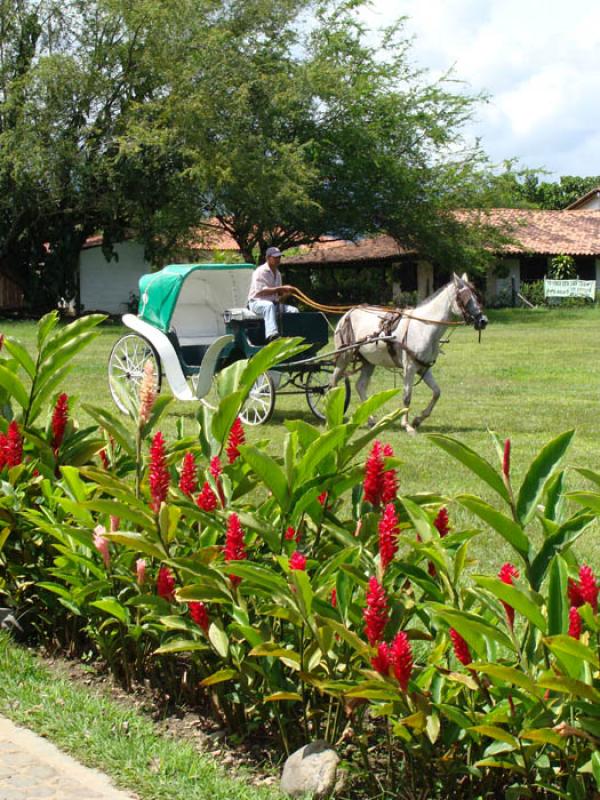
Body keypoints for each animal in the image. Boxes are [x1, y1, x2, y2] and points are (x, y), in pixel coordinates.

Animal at [330, 274, 490, 432]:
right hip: (344, 357)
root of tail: (347, 314)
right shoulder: (410, 367)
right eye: (464, 298)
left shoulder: (424, 367)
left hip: (369, 362)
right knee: (333, 383)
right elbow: (407, 396)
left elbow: (437, 392)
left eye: (477, 296)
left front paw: (418, 419)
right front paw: (406, 425)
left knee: (360, 386)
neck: (424, 327)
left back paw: (371, 420)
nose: (483, 321)